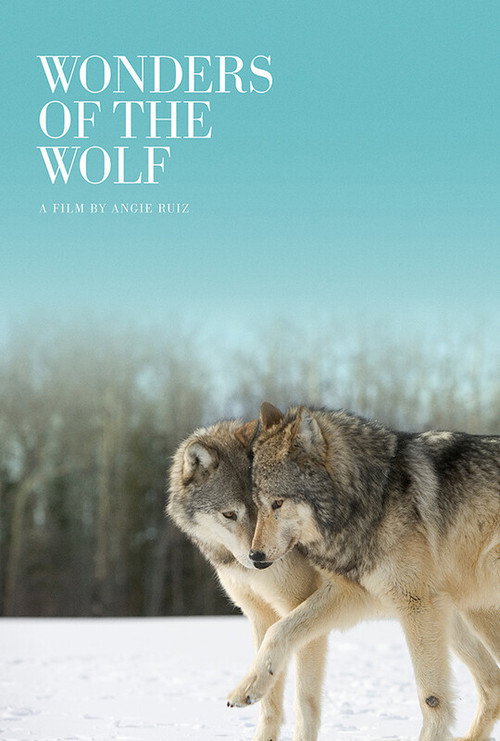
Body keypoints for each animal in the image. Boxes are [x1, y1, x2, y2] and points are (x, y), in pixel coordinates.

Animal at [167, 418, 329, 741]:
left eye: (274, 505)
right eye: (230, 514)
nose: (260, 559)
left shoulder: (303, 616)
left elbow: (304, 705)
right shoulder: (261, 616)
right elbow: (269, 703)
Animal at [227, 403, 500, 741]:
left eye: (277, 503)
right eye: (258, 505)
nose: (255, 557)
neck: (372, 499)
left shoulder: (416, 604)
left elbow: (432, 698)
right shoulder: (356, 594)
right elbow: (280, 629)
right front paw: (249, 687)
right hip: (463, 615)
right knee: (493, 684)